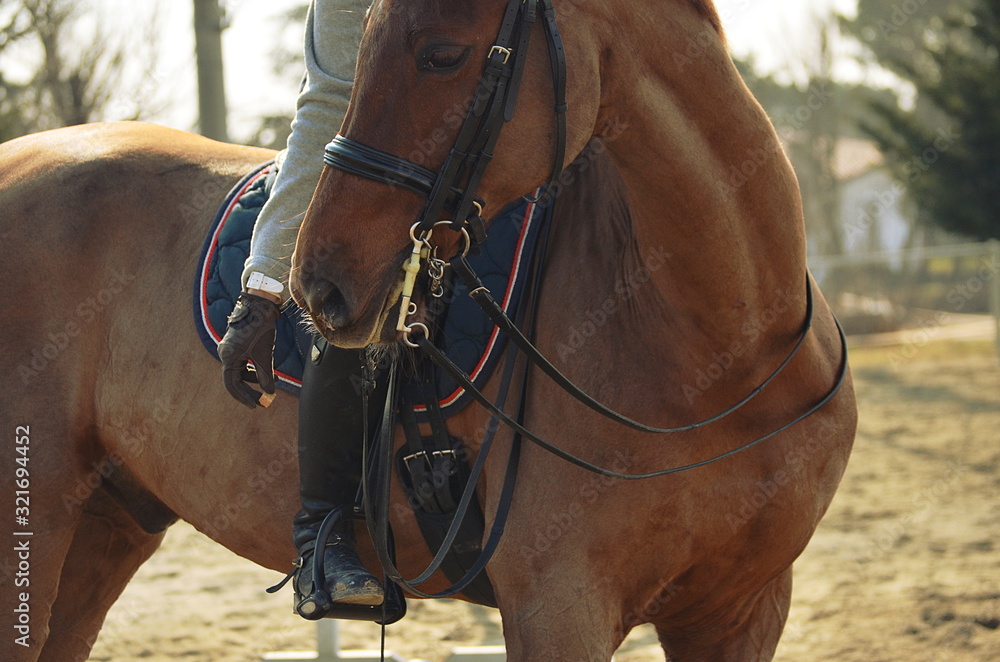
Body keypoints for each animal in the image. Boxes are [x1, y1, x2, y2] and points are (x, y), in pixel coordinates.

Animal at [0, 2, 856, 662]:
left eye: (443, 54)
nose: (316, 283)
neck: (724, 360)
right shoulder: (560, 606)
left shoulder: (740, 610)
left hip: (106, 524)